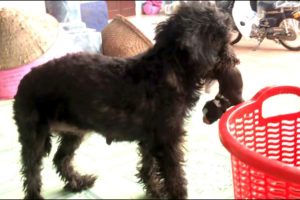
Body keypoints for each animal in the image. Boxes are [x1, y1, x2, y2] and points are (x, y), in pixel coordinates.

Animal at [14, 1, 244, 200]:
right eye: (221, 41)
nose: (235, 60)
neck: (170, 67)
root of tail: (26, 79)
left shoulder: (150, 139)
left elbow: (147, 167)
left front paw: (155, 191)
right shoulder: (167, 139)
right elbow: (175, 176)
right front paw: (175, 194)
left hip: (74, 131)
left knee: (60, 158)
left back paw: (78, 182)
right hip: (35, 135)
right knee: (31, 170)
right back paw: (37, 195)